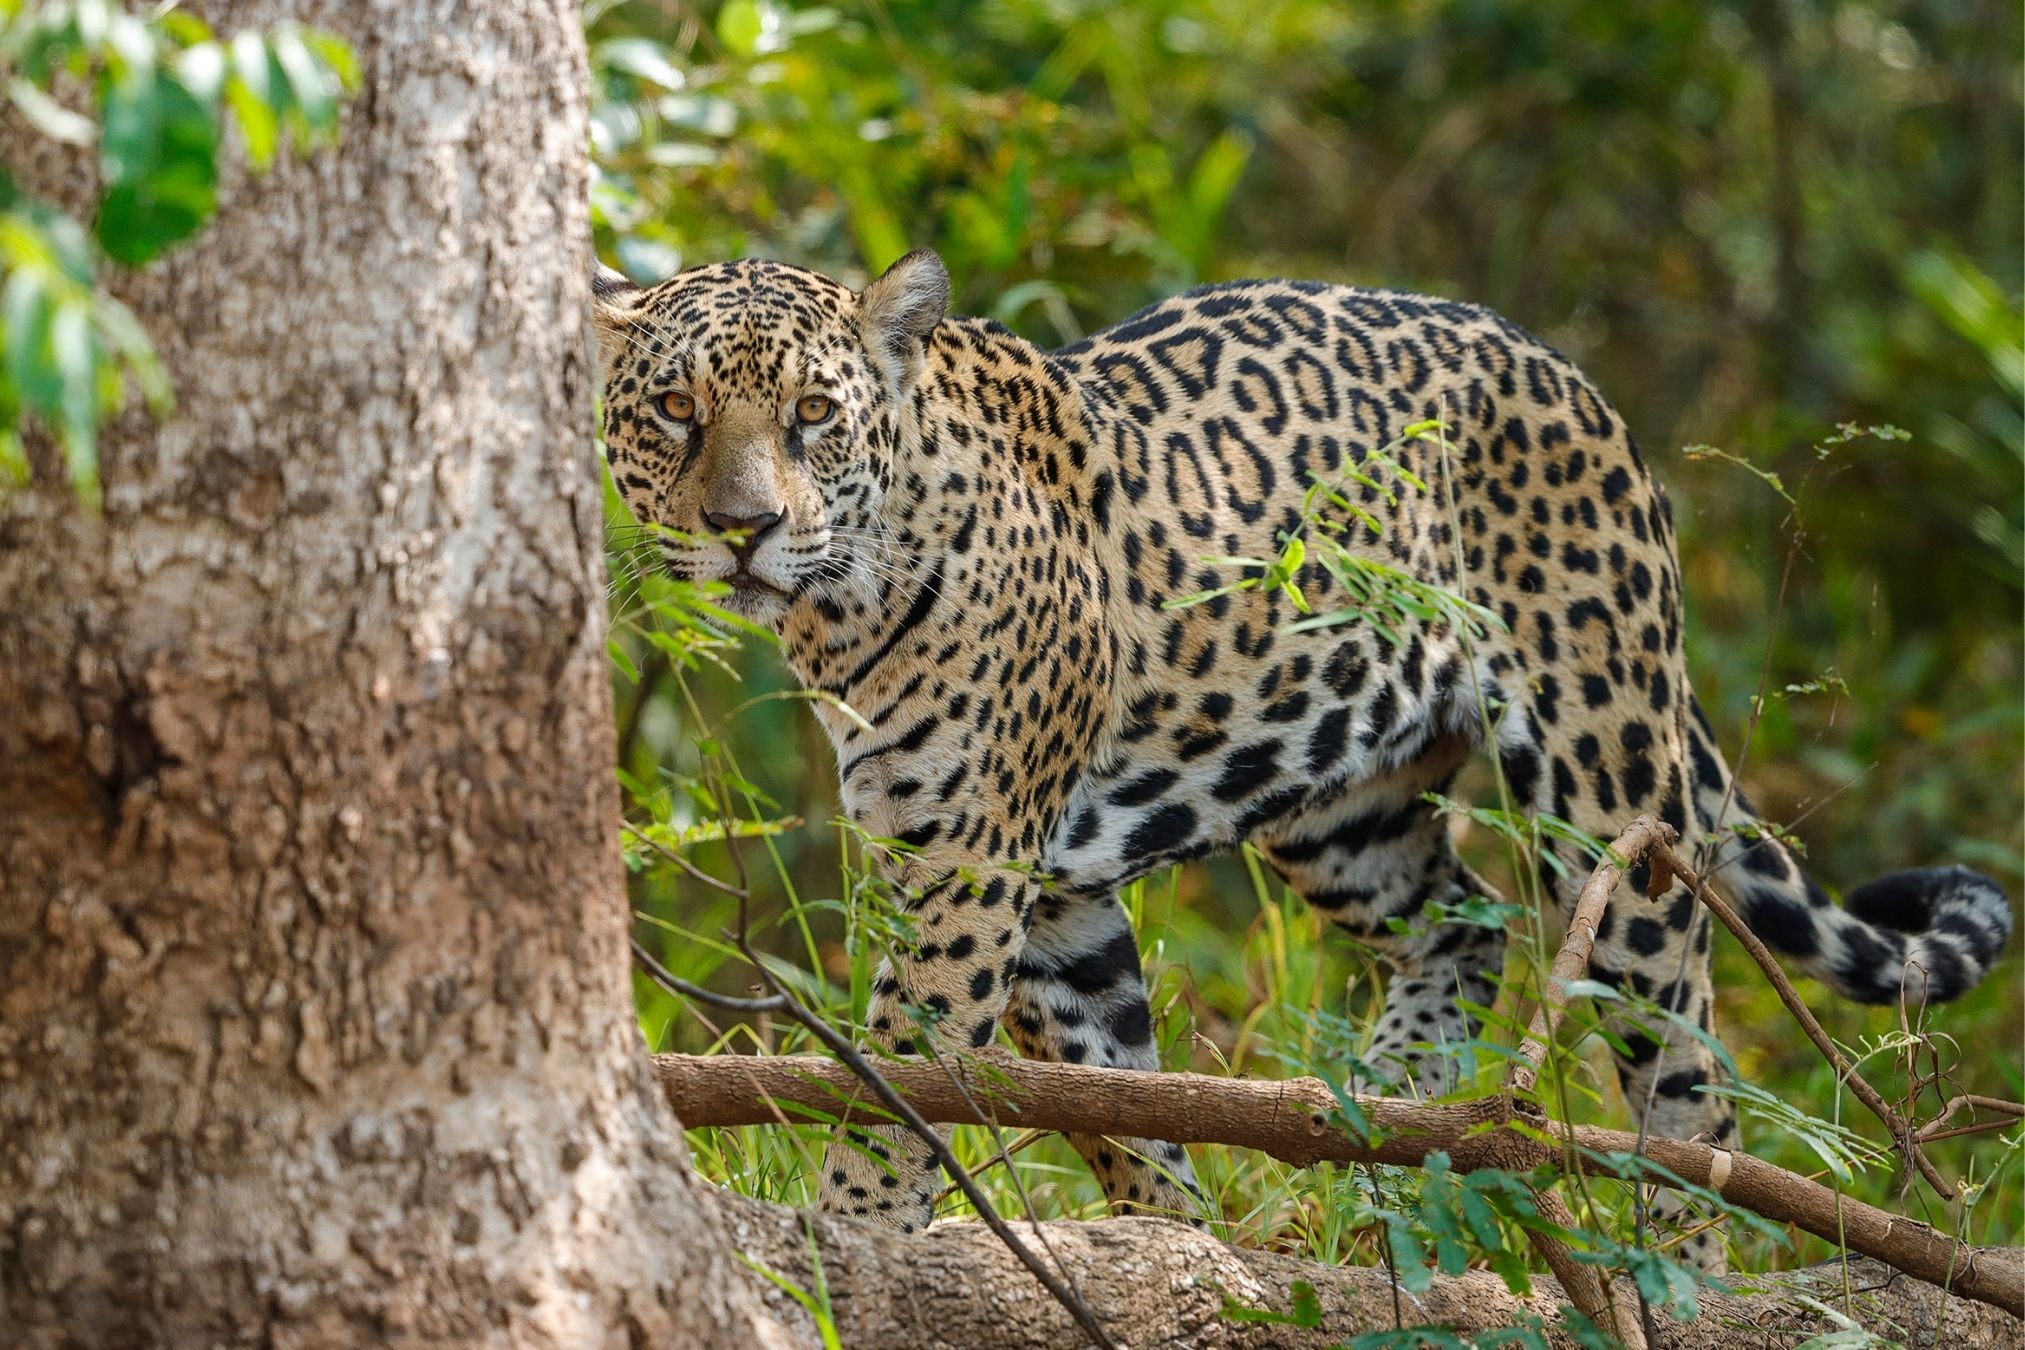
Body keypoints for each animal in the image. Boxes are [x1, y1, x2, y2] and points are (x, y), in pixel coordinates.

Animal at [590, 250, 2013, 1271]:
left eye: (812, 415)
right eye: (675, 410)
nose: (743, 528)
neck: (843, 608)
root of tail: (1574, 377)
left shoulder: (973, 864)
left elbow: (907, 1074)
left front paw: (853, 1246)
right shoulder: (1044, 890)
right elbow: (1114, 1098)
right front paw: (1185, 1248)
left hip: (1607, 780)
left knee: (1688, 1077)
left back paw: (1686, 1272)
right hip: (1341, 801)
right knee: (1464, 921)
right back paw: (1384, 1121)